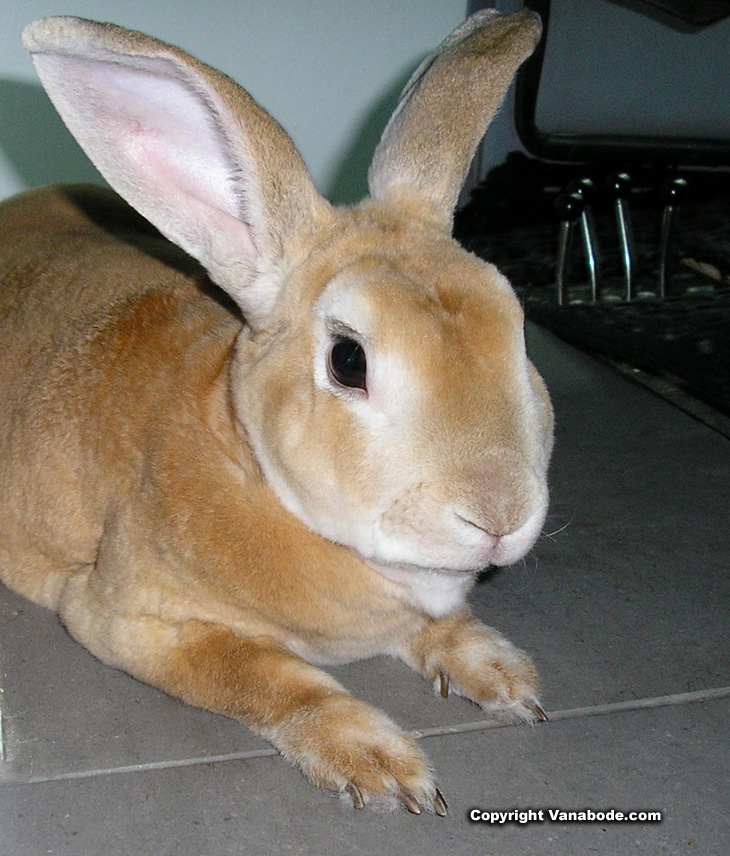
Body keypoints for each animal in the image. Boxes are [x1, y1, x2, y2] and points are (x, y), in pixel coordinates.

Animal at [0, 10, 551, 814]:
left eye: (518, 328)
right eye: (349, 360)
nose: (500, 516)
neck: (250, 457)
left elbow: (444, 629)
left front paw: (507, 678)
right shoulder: (130, 620)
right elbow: (268, 678)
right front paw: (381, 767)